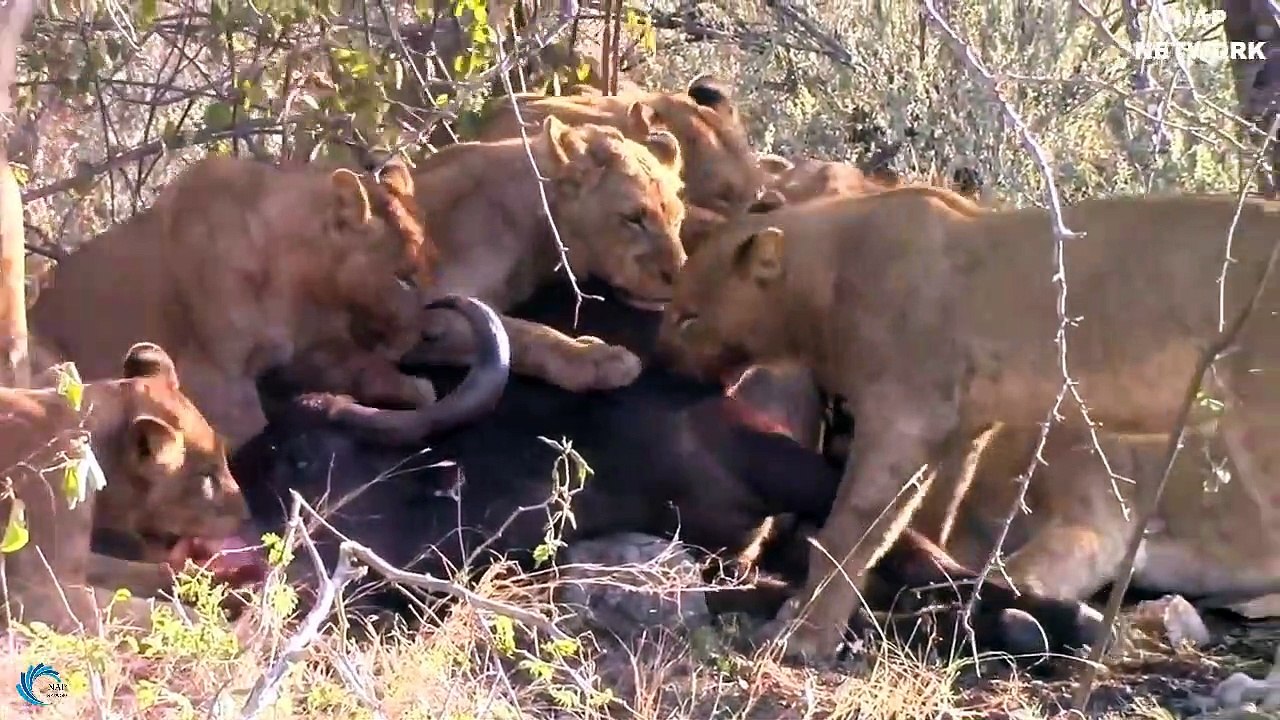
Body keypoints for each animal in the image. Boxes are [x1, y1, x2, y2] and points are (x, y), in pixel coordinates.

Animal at [1, 342, 259, 634]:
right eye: (207, 476)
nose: (247, 515)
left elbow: (144, 572)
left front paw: (225, 588)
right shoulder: (41, 594)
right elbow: (150, 614)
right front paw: (233, 629)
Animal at [26, 155, 496, 450]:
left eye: (432, 266)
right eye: (402, 277)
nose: (437, 331)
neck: (296, 284)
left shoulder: (310, 352)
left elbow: (382, 376)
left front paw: (419, 392)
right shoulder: (217, 378)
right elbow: (250, 428)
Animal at [402, 116, 687, 393]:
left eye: (677, 219)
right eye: (633, 219)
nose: (677, 278)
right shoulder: (427, 307)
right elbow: (520, 332)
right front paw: (594, 357)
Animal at [653, 186, 1280, 662]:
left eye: (688, 318)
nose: (658, 361)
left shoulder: (901, 417)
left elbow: (849, 531)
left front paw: (802, 638)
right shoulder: (962, 429)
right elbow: (926, 523)